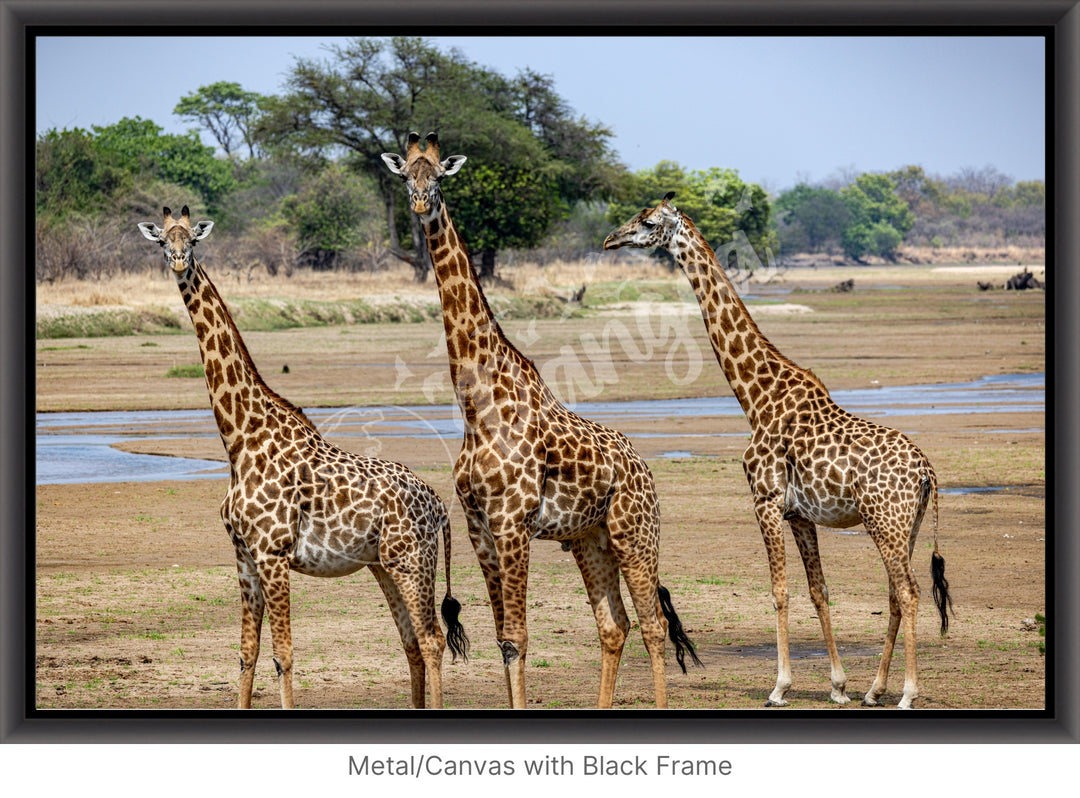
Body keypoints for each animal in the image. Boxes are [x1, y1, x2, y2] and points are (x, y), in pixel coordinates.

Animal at [136, 207, 468, 712]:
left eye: (191, 239)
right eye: (161, 242)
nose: (177, 261)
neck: (239, 440)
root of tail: (438, 506)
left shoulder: (273, 554)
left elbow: (284, 655)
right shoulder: (243, 555)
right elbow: (247, 654)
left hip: (413, 560)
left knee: (430, 639)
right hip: (383, 565)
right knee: (410, 640)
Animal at [380, 132, 699, 712]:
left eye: (438, 175)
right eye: (405, 174)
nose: (419, 204)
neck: (476, 406)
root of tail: (643, 469)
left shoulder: (513, 524)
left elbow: (519, 638)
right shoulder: (480, 527)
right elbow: (503, 638)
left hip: (636, 533)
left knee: (654, 626)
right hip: (592, 539)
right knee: (614, 626)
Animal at [604, 193, 950, 712]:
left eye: (646, 222)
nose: (610, 239)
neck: (755, 398)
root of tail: (927, 470)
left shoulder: (764, 501)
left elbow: (779, 591)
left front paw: (780, 686)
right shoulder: (800, 514)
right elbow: (818, 590)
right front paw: (838, 685)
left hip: (885, 521)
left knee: (908, 592)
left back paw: (907, 693)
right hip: (903, 524)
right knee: (895, 592)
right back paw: (874, 689)